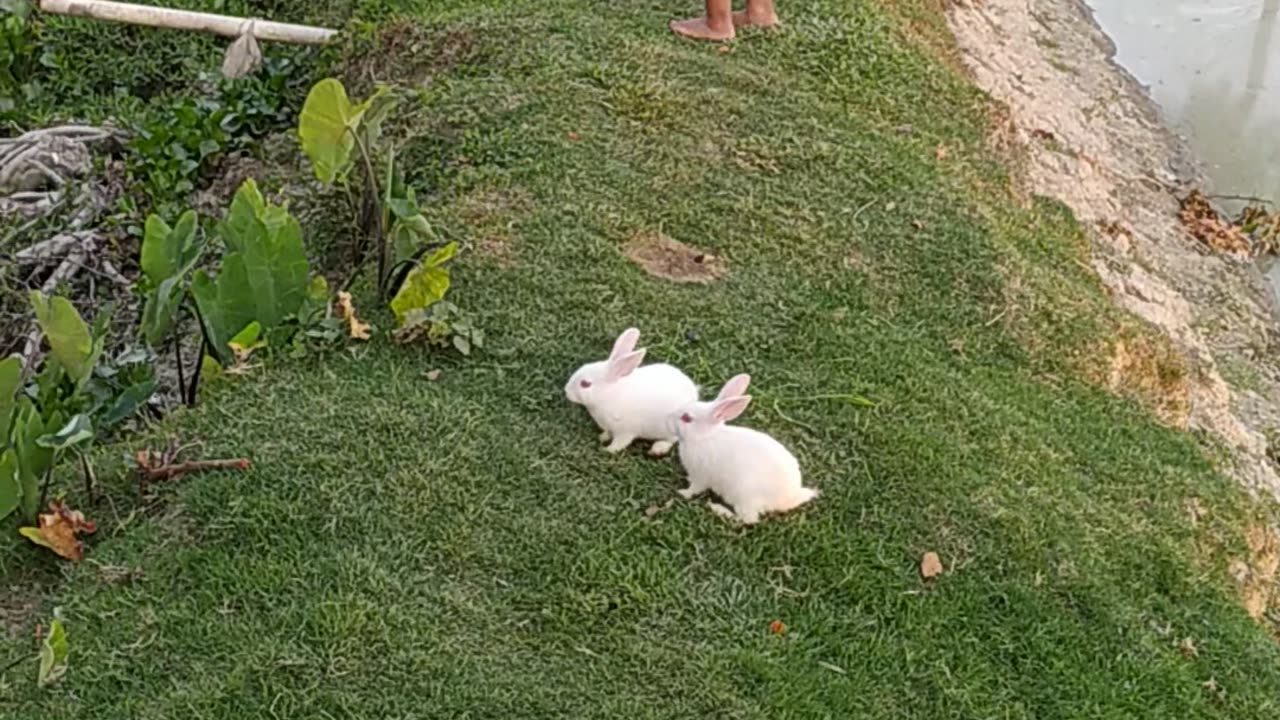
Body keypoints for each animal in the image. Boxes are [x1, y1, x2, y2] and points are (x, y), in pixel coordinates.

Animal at [565, 327, 699, 456]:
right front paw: (602, 437)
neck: (607, 395)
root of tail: (694, 394)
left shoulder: (625, 432)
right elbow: (607, 433)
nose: (566, 391)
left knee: (672, 439)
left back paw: (658, 448)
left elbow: (619, 444)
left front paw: (607, 450)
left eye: (585, 384)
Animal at [675, 374, 819, 524]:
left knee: (746, 520)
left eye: (686, 418)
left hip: (744, 497)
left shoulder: (701, 476)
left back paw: (717, 509)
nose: (672, 415)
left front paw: (682, 493)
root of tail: (790, 498)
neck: (705, 436)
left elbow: (694, 489)